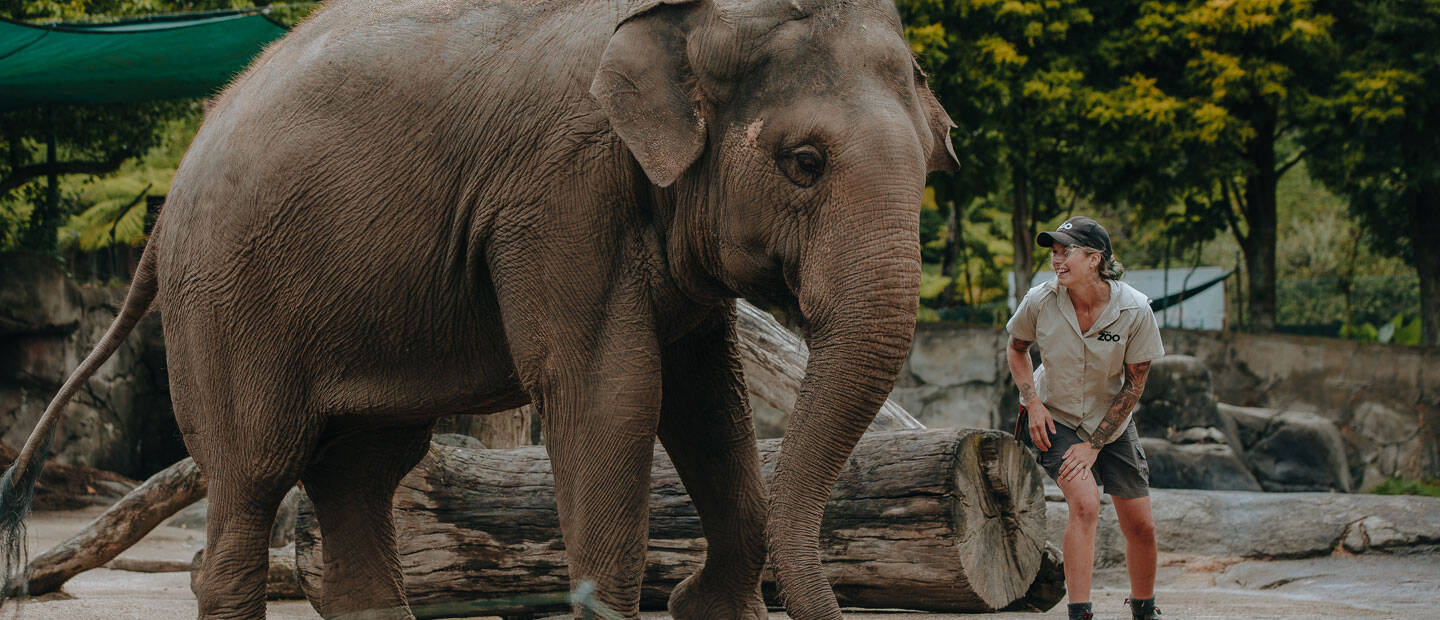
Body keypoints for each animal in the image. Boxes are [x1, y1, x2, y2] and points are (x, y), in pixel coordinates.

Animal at [0, 0, 958, 616]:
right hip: (226, 302)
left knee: (362, 473)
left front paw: (712, 606)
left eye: (934, 160)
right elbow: (613, 393)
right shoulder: (559, 193)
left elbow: (708, 403)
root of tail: (165, 204)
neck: (689, 20)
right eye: (804, 164)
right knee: (254, 480)